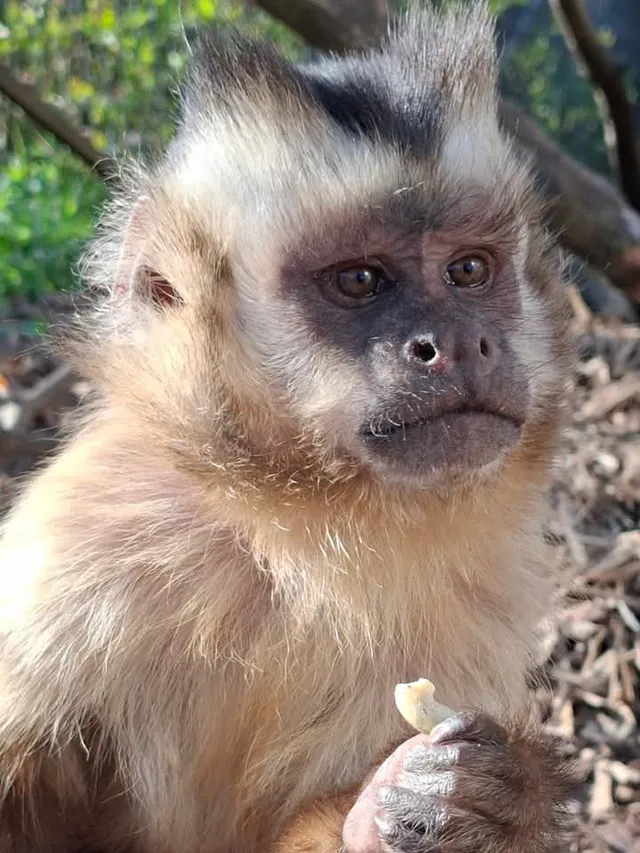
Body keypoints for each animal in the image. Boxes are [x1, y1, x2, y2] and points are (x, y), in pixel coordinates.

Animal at [0, 2, 576, 852]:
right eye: (360, 280)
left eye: (469, 270)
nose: (457, 342)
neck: (289, 519)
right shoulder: (86, 539)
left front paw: (456, 807)